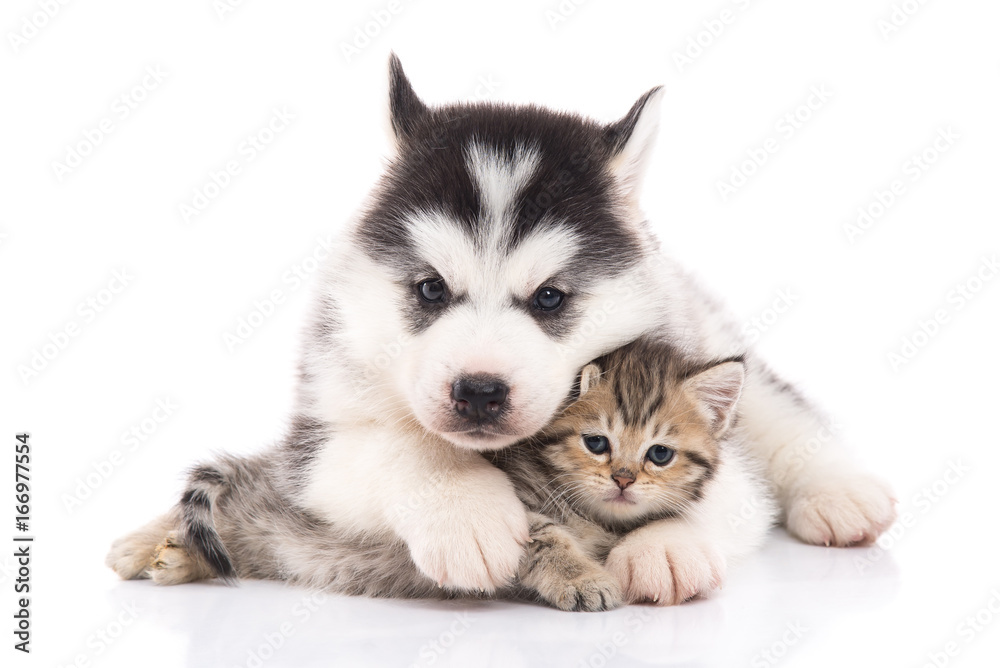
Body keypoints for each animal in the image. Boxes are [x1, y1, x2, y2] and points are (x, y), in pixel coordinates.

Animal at [107, 54, 900, 604]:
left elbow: (726, 492)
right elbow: (385, 447)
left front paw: (667, 544)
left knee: (774, 403)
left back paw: (840, 492)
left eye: (549, 298)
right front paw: (466, 513)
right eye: (430, 288)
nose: (480, 392)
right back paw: (153, 539)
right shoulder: (317, 442)